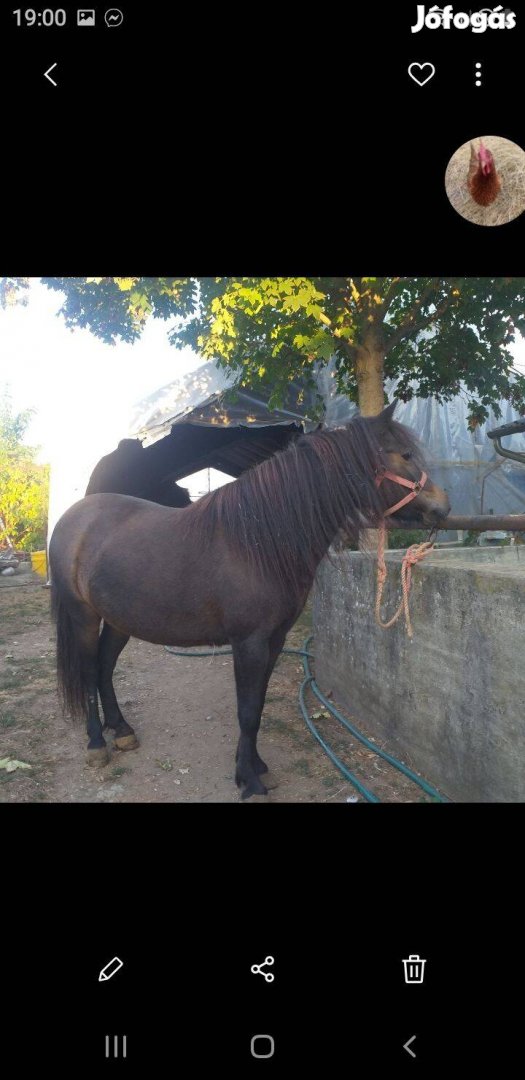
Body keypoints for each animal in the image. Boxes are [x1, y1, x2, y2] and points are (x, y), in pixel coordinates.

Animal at [49, 401, 449, 799]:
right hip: (83, 617)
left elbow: (256, 708)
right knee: (89, 670)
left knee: (104, 667)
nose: (442, 508)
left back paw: (122, 731)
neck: (257, 542)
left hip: (121, 619)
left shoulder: (274, 641)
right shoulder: (249, 643)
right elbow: (246, 710)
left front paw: (257, 769)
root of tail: (73, 517)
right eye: (405, 454)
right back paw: (97, 743)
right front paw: (250, 782)